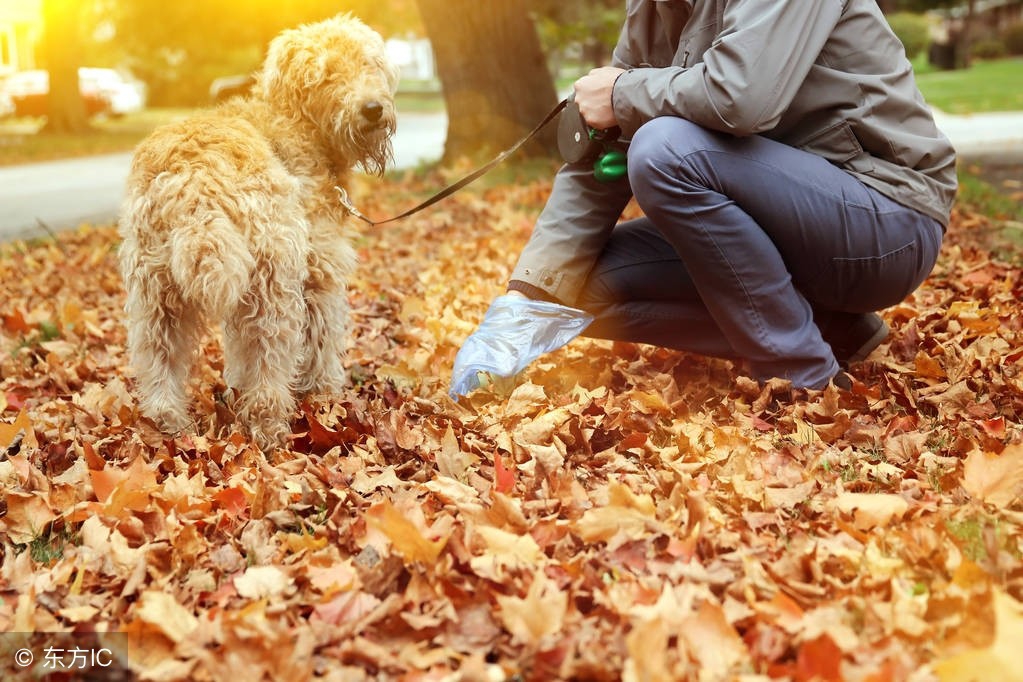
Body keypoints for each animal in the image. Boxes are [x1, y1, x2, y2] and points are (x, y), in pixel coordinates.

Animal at [116, 13, 394, 449]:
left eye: (368, 63)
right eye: (328, 72)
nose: (372, 109)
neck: (295, 123)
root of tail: (196, 175)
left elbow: (237, 351)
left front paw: (236, 386)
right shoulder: (320, 273)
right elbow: (322, 341)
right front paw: (324, 393)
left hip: (156, 292)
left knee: (159, 360)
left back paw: (169, 424)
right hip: (273, 285)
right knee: (269, 361)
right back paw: (271, 428)